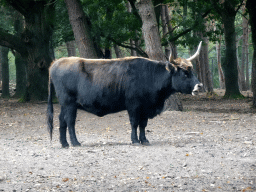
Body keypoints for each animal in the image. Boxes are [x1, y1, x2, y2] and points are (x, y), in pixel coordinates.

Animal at [46, 55, 202, 147]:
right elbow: (134, 123)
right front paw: (135, 140)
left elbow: (143, 124)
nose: (199, 86)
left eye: (192, 71)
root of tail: (56, 62)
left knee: (62, 120)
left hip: (65, 105)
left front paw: (144, 140)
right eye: (185, 73)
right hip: (70, 104)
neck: (149, 75)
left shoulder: (145, 108)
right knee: (70, 122)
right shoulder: (133, 106)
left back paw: (64, 143)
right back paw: (75, 142)